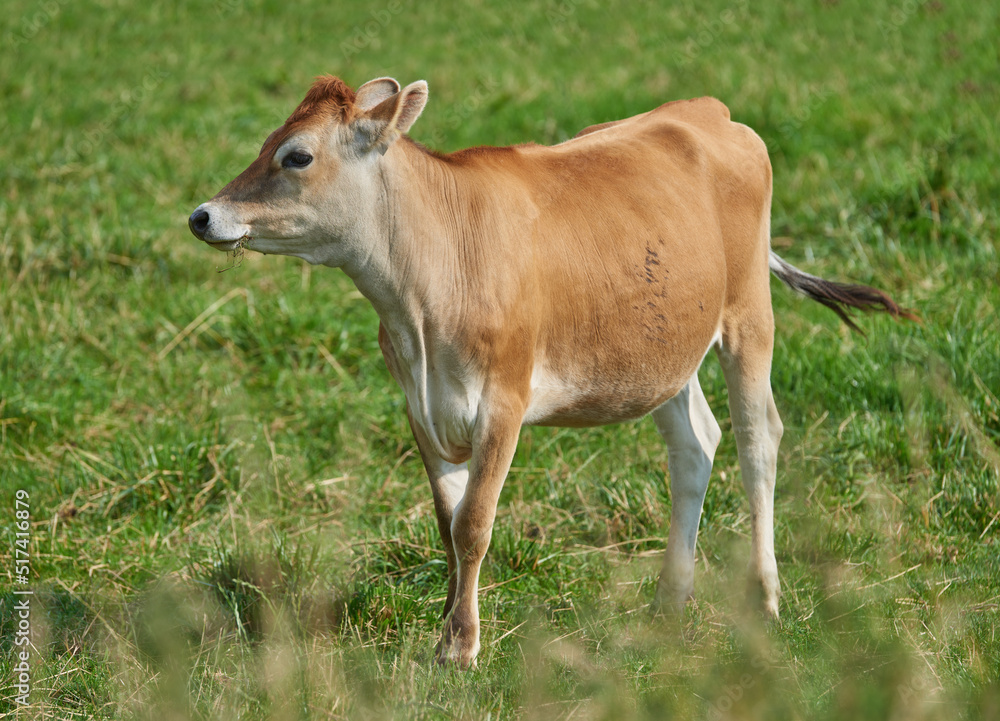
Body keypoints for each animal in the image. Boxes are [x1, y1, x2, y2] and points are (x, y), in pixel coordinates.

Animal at [188, 76, 916, 668]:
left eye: (296, 156)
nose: (202, 215)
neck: (420, 295)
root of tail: (707, 110)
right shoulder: (419, 407)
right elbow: (447, 524)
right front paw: (444, 627)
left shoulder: (503, 401)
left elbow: (475, 524)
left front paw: (461, 645)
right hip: (664, 347)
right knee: (695, 444)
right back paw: (669, 601)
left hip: (747, 314)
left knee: (758, 439)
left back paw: (765, 597)